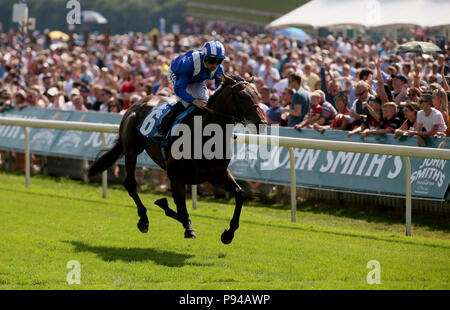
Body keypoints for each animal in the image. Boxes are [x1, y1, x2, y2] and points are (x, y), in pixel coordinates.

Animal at [88, 74, 268, 243]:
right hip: (131, 149)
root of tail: (137, 102)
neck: (204, 135)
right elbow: (181, 209)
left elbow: (239, 194)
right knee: (130, 184)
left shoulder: (217, 174)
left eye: (257, 94)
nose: (262, 122)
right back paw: (144, 219)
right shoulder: (176, 176)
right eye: (242, 96)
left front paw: (228, 233)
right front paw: (186, 226)